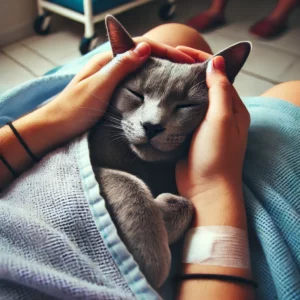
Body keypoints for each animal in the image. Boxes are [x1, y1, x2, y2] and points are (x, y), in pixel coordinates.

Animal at [88, 15, 251, 288]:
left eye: (187, 105)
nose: (152, 126)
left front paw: (163, 212)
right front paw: (150, 257)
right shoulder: (94, 162)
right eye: (136, 93)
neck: (146, 166)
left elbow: (186, 203)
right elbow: (127, 181)